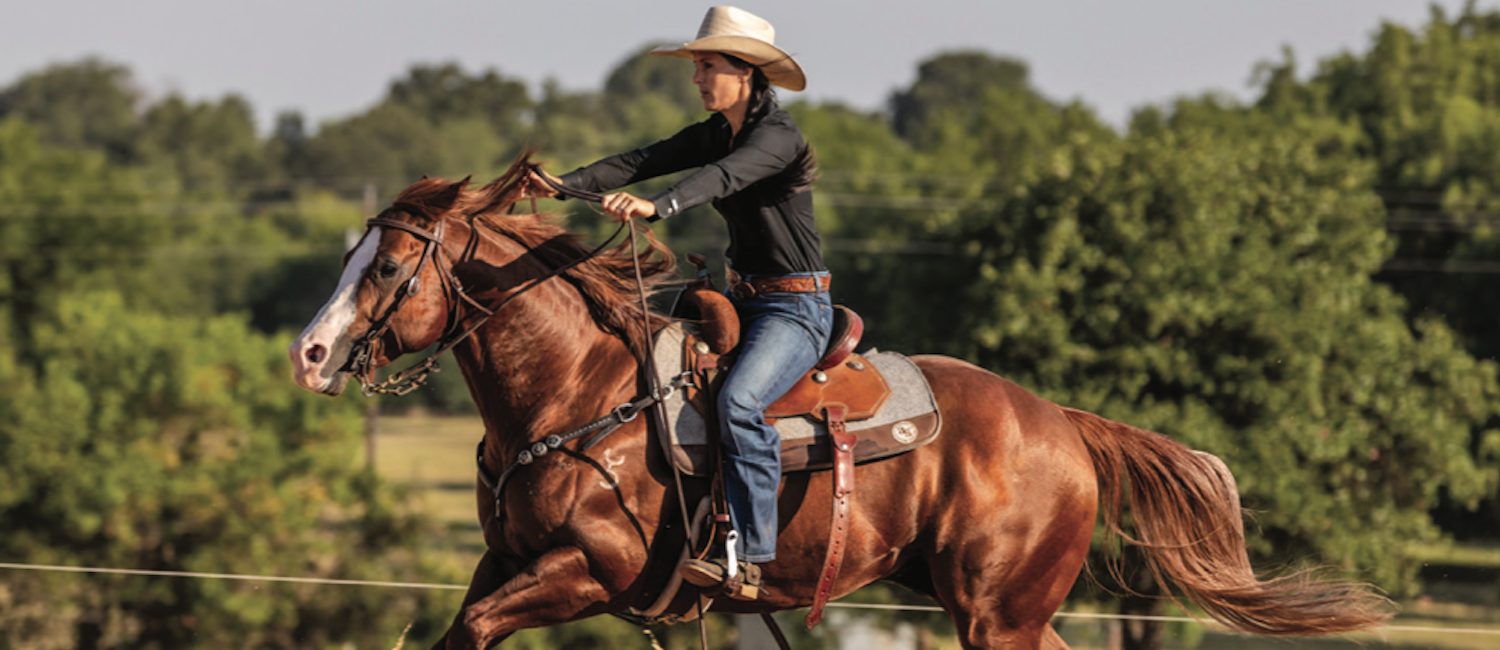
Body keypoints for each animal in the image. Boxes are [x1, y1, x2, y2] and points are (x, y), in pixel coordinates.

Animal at [287, 157, 1391, 649]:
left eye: (384, 264)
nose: (310, 353)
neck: (576, 396)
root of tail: (1066, 426)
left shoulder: (583, 572)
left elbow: (476, 630)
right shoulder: (505, 561)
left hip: (996, 613)